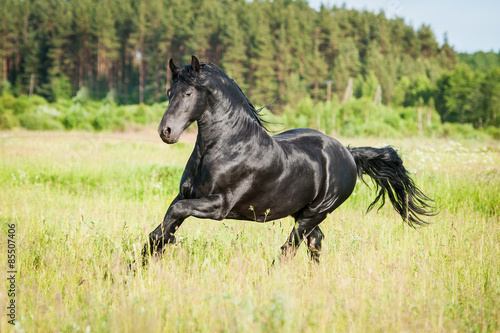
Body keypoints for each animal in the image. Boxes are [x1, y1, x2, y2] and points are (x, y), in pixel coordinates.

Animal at [139, 55, 436, 264]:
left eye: (188, 93)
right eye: (169, 93)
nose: (166, 132)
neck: (227, 146)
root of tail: (348, 154)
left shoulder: (219, 205)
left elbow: (174, 216)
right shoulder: (185, 195)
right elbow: (167, 222)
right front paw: (140, 264)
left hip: (314, 213)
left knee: (289, 249)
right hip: (302, 212)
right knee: (315, 243)